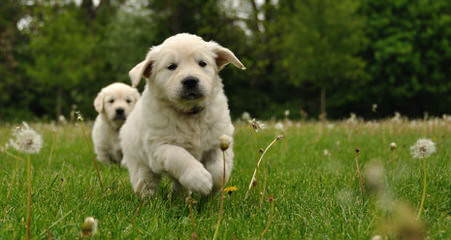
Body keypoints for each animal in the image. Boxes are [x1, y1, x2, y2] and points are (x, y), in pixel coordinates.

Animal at [120, 32, 245, 196]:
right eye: (171, 66)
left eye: (202, 63)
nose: (190, 80)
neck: (190, 114)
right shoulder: (159, 146)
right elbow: (180, 156)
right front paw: (200, 179)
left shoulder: (219, 139)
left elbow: (219, 167)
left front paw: (214, 186)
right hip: (138, 162)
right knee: (145, 182)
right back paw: (149, 198)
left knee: (179, 183)